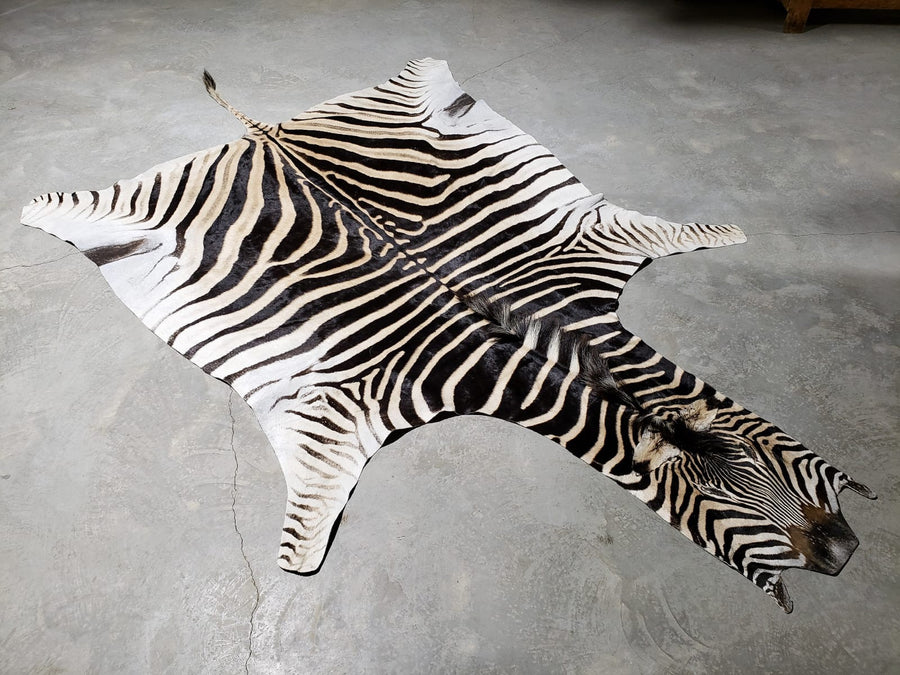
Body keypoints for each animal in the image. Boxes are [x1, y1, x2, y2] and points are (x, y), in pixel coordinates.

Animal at [20, 60, 873, 612]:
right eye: (713, 499)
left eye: (758, 459)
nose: (844, 552)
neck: (546, 343)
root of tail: (272, 135)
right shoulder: (339, 408)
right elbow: (313, 511)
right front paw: (298, 560)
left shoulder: (594, 244)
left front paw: (722, 233)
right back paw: (40, 207)